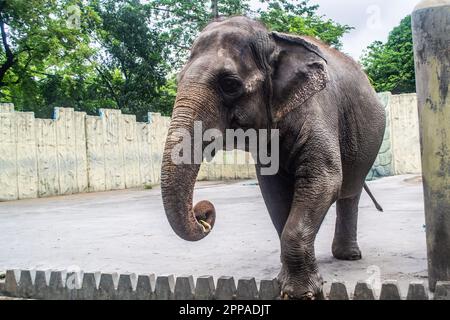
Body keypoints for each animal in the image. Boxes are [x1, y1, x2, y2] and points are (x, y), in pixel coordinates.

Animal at [160, 16, 384, 298]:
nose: (204, 215)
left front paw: (301, 293)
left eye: (229, 84)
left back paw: (349, 257)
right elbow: (273, 190)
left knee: (349, 190)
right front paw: (284, 281)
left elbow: (324, 179)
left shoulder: (318, 108)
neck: (274, 40)